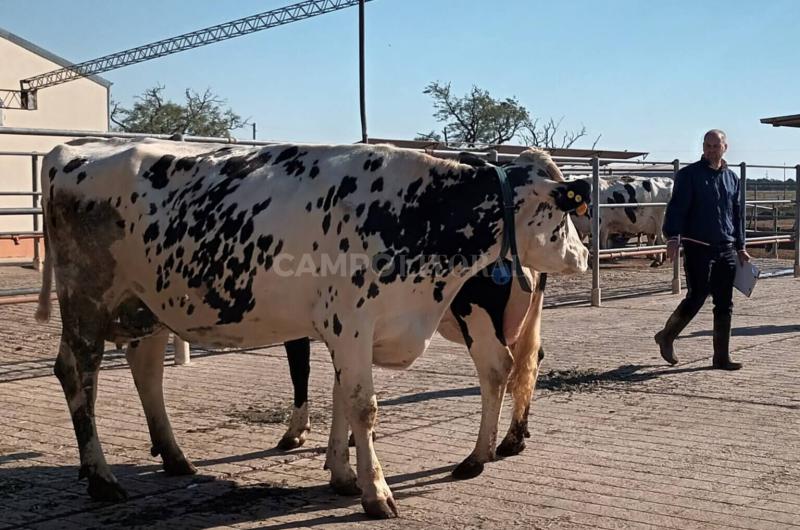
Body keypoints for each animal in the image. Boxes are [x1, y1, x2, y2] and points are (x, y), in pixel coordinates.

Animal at [36, 137, 588, 516]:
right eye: (564, 214)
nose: (584, 256)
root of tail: (71, 149)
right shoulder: (350, 320)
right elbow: (362, 405)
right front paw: (375, 492)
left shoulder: (350, 328)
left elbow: (342, 396)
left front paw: (343, 475)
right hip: (86, 299)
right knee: (78, 373)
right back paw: (101, 477)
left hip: (145, 305)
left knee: (146, 370)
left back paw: (174, 458)